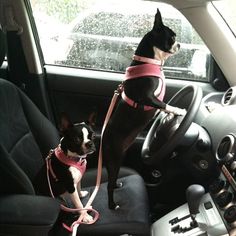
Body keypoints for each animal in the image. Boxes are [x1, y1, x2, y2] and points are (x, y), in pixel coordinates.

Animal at [103, 8, 186, 209]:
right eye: (172, 37)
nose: (180, 44)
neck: (149, 61)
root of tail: (102, 138)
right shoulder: (147, 97)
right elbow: (165, 104)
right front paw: (179, 111)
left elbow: (163, 107)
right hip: (114, 158)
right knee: (108, 184)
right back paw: (112, 204)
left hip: (119, 158)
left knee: (113, 178)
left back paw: (117, 185)